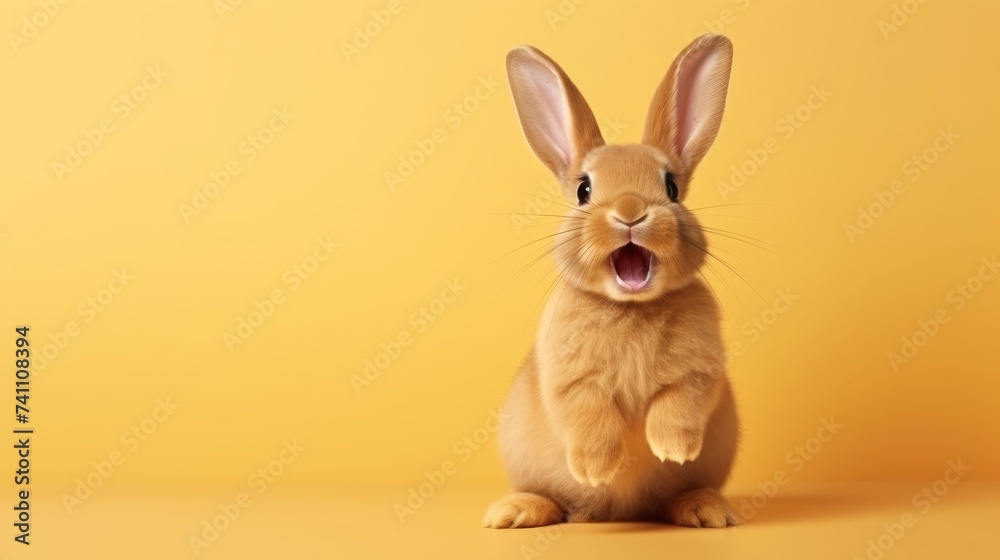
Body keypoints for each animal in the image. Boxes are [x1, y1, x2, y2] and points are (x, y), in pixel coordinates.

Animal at [483, 34, 743, 529]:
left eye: (671, 187)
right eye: (584, 190)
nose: (630, 211)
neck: (631, 306)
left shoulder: (698, 372)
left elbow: (678, 402)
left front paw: (673, 448)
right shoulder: (570, 379)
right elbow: (588, 412)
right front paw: (596, 468)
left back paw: (707, 510)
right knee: (553, 500)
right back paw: (513, 512)